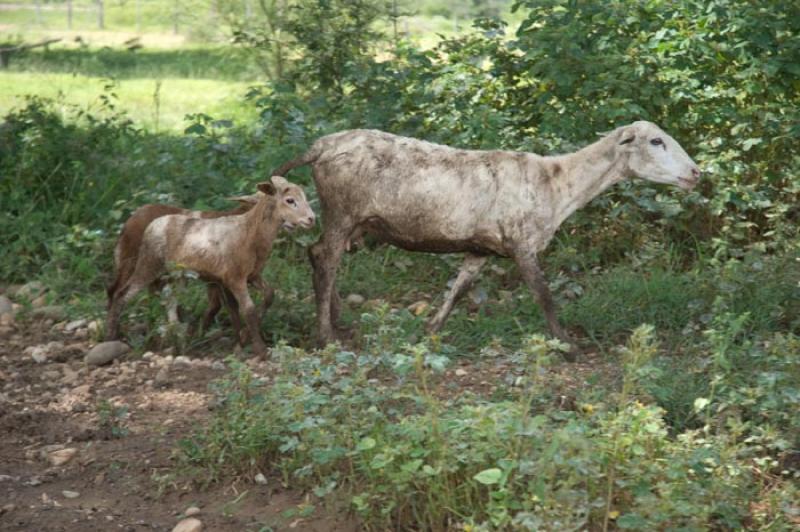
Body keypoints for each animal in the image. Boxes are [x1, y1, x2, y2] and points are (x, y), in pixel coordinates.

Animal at [274, 118, 700, 356]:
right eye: (656, 141)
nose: (696, 173)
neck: (558, 184)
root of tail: (320, 147)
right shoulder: (522, 243)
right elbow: (544, 296)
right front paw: (568, 345)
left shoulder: (481, 248)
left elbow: (459, 289)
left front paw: (430, 332)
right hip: (341, 210)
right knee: (323, 258)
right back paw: (325, 335)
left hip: (350, 219)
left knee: (323, 257)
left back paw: (339, 321)